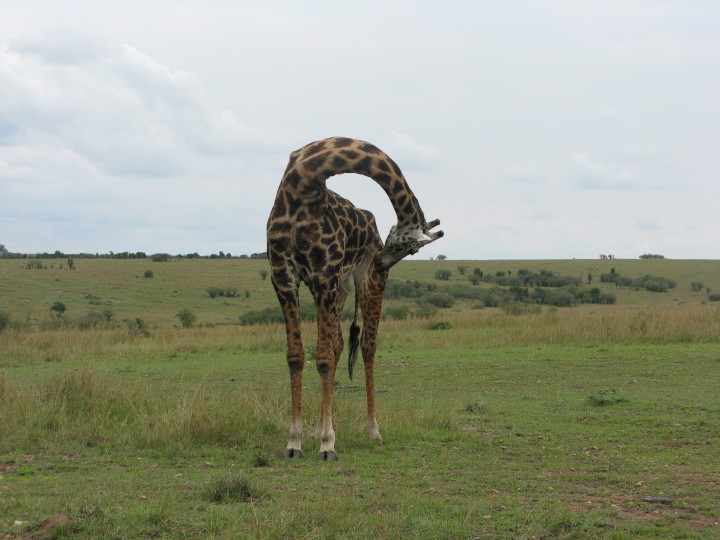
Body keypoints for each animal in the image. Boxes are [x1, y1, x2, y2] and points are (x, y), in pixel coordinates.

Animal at [266, 136, 443, 460]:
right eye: (412, 248)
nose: (381, 262)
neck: (303, 182)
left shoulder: (324, 273)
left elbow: (322, 357)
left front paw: (327, 446)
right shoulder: (283, 275)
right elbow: (296, 355)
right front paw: (295, 441)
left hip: (363, 284)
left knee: (367, 346)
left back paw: (373, 432)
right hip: (336, 289)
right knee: (338, 343)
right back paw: (319, 429)